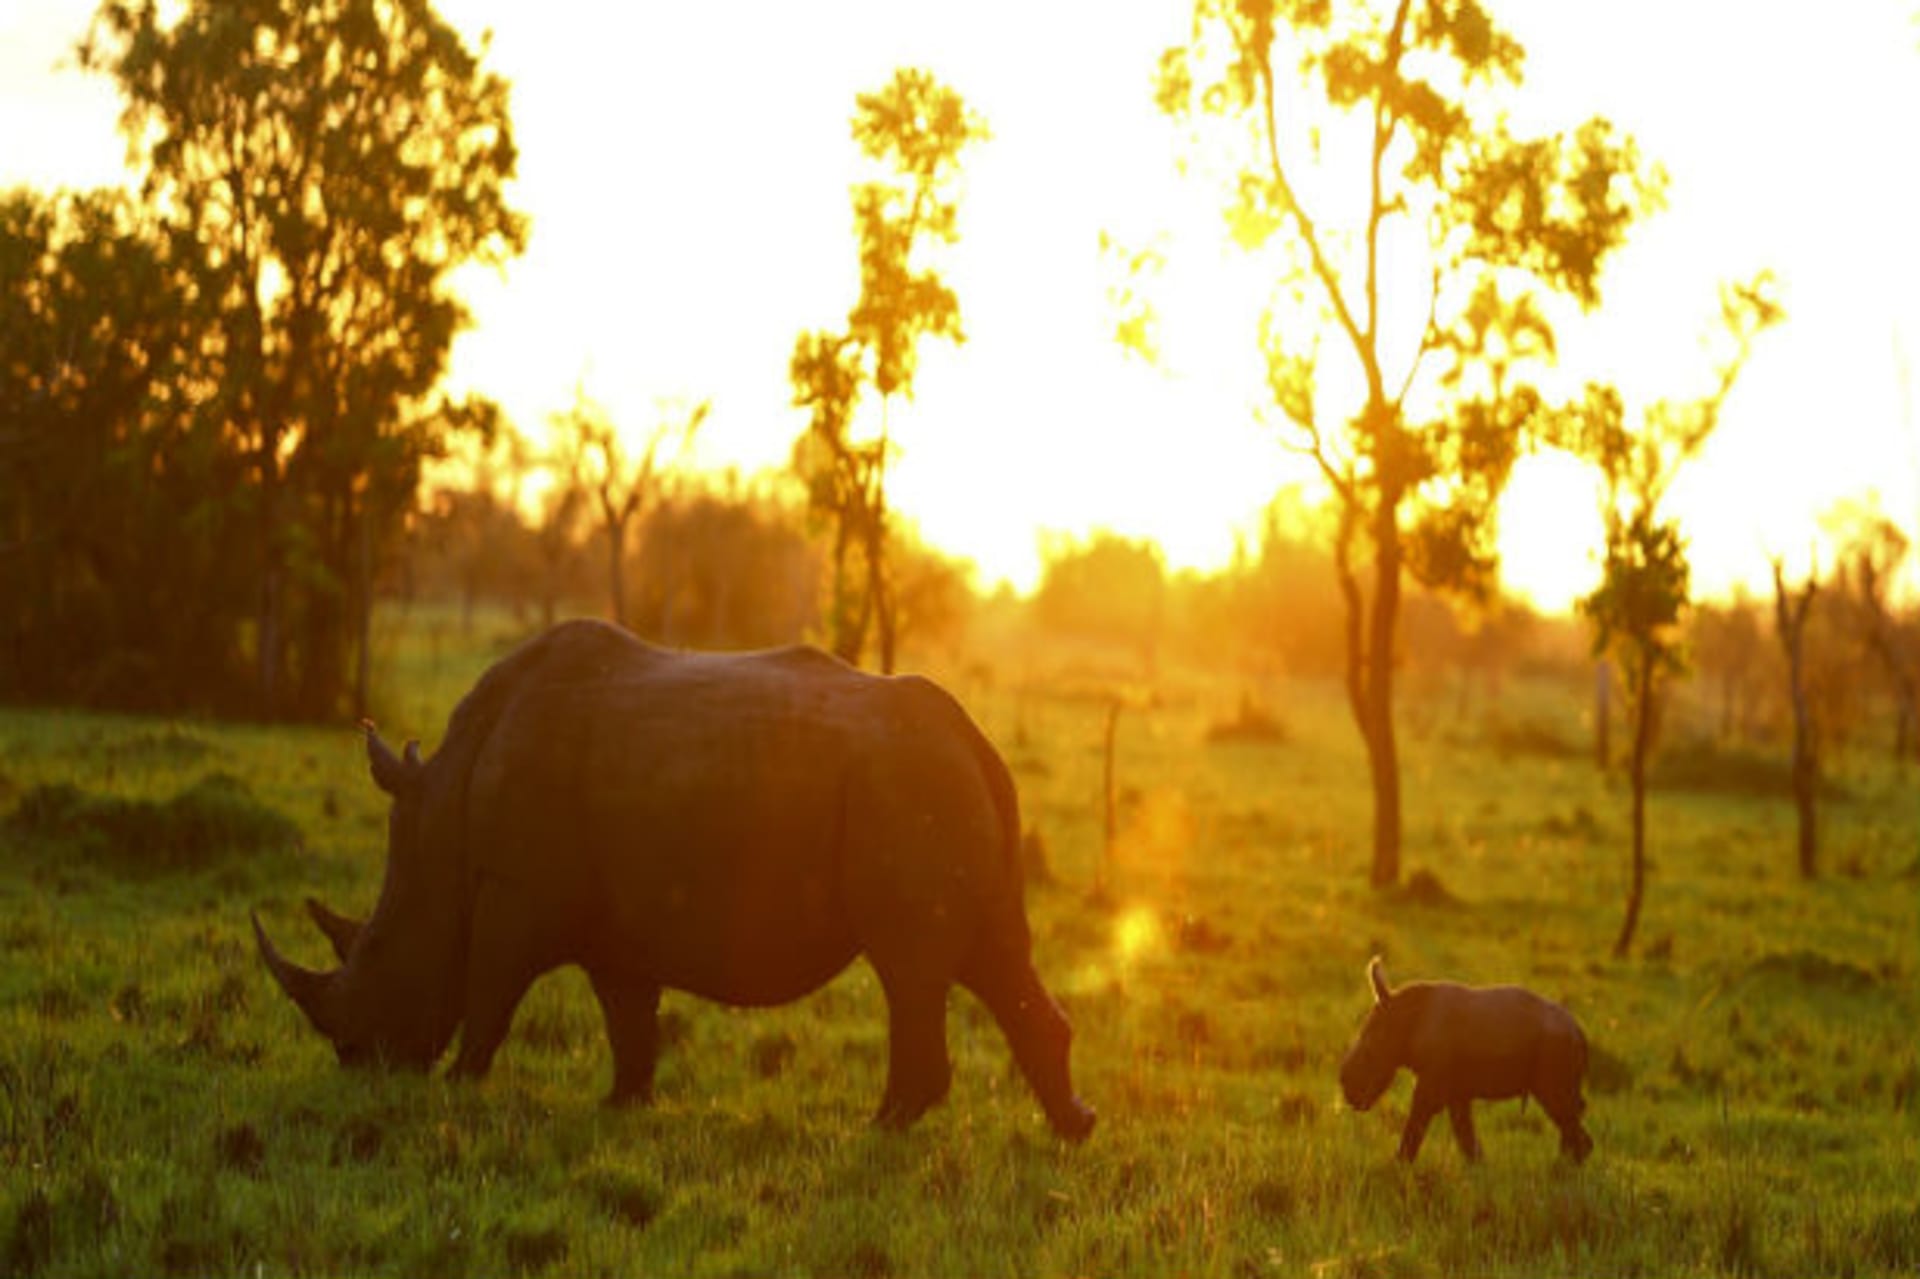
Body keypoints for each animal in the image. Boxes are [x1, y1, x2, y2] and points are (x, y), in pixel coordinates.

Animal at [253, 619, 1094, 1140]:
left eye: (375, 949)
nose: (356, 1059)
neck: (441, 830)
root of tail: (974, 738)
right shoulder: (610, 920)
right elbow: (628, 1014)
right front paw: (623, 1103)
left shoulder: (518, 896)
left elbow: (491, 990)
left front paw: (459, 1086)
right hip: (938, 784)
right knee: (993, 955)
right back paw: (1073, 1128)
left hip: (908, 785)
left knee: (910, 969)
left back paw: (879, 1127)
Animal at [1338, 957, 1592, 1163]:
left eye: (1371, 1053)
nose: (1347, 1089)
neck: (1403, 1015)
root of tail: (1579, 1032)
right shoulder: (1456, 1091)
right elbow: (1467, 1140)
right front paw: (1479, 1174)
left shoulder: (1431, 1084)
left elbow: (1415, 1128)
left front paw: (1399, 1167)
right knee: (1569, 1120)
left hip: (1554, 1061)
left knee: (1565, 1116)